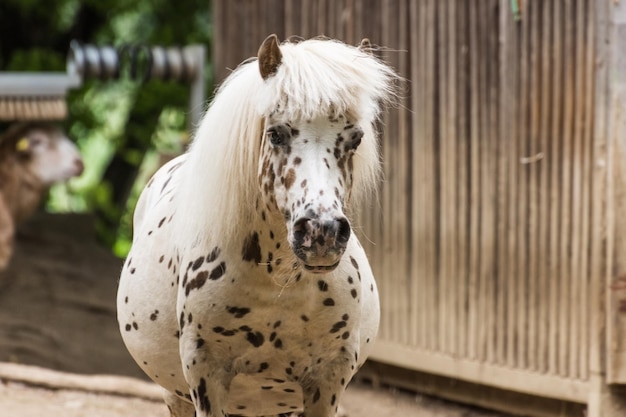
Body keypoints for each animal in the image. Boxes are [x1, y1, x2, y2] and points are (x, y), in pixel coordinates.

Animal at [118, 35, 394, 416]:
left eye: (355, 140)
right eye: (276, 134)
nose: (321, 233)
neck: (278, 285)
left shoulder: (327, 382)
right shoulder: (205, 378)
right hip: (176, 395)